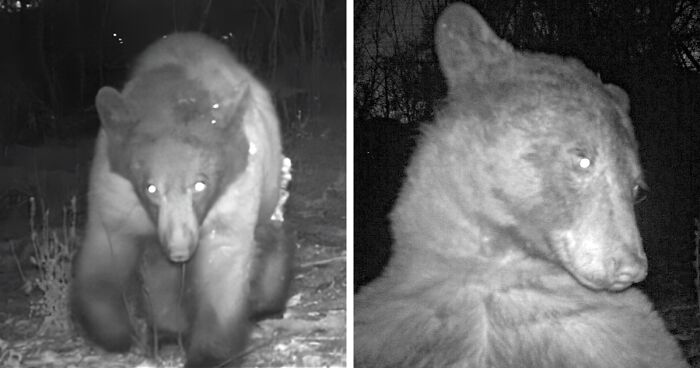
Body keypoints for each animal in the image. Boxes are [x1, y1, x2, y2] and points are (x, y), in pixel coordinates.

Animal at [69, 32, 292, 368]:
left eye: (200, 184)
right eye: (150, 188)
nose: (180, 250)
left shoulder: (234, 192)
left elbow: (223, 267)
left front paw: (211, 353)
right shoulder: (115, 190)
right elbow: (104, 256)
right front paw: (118, 332)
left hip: (269, 178)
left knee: (269, 230)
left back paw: (267, 304)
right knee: (159, 271)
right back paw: (168, 333)